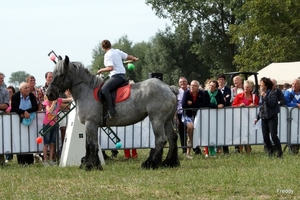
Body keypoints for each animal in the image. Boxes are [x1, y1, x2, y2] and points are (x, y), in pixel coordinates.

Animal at [45, 55, 179, 170]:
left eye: (61, 74)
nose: (49, 94)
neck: (87, 91)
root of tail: (168, 88)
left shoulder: (91, 123)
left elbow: (92, 145)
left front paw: (91, 166)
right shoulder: (89, 125)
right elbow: (88, 145)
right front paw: (87, 164)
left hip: (157, 120)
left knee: (161, 140)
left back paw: (149, 163)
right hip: (166, 120)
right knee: (172, 138)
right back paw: (169, 162)